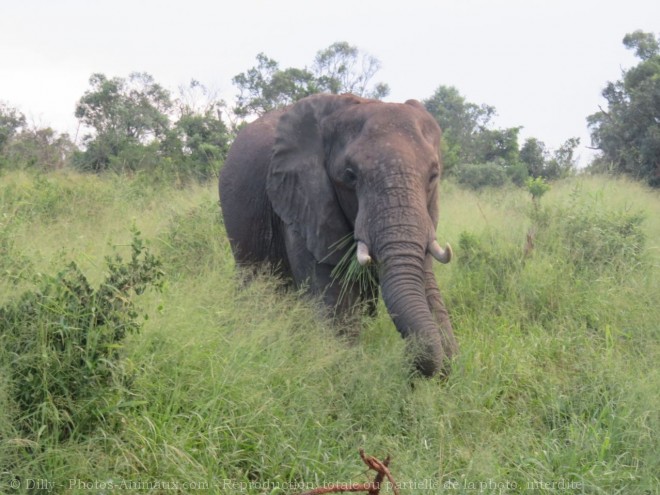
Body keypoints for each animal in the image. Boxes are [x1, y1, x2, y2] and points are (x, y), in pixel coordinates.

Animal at [219, 93, 456, 378]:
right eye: (350, 175)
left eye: (433, 175)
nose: (410, 368)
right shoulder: (302, 202)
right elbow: (334, 303)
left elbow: (426, 280)